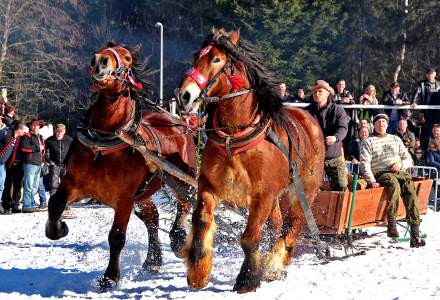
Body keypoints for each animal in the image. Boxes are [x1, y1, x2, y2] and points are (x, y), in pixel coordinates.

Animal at [45, 42, 195, 290]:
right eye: (104, 48)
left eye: (127, 57)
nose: (100, 60)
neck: (102, 142)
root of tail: (178, 123)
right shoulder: (73, 184)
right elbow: (55, 204)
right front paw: (58, 229)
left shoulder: (124, 198)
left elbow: (116, 237)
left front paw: (109, 277)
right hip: (144, 193)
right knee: (152, 219)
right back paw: (153, 260)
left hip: (181, 177)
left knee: (185, 202)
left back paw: (178, 238)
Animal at [177, 29, 324, 292]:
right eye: (196, 56)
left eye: (216, 59)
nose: (184, 95)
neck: (235, 138)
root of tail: (310, 118)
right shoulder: (208, 186)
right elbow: (202, 220)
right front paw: (198, 270)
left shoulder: (261, 196)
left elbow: (249, 238)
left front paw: (247, 278)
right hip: (276, 198)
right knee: (278, 225)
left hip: (303, 192)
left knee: (293, 226)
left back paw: (274, 264)